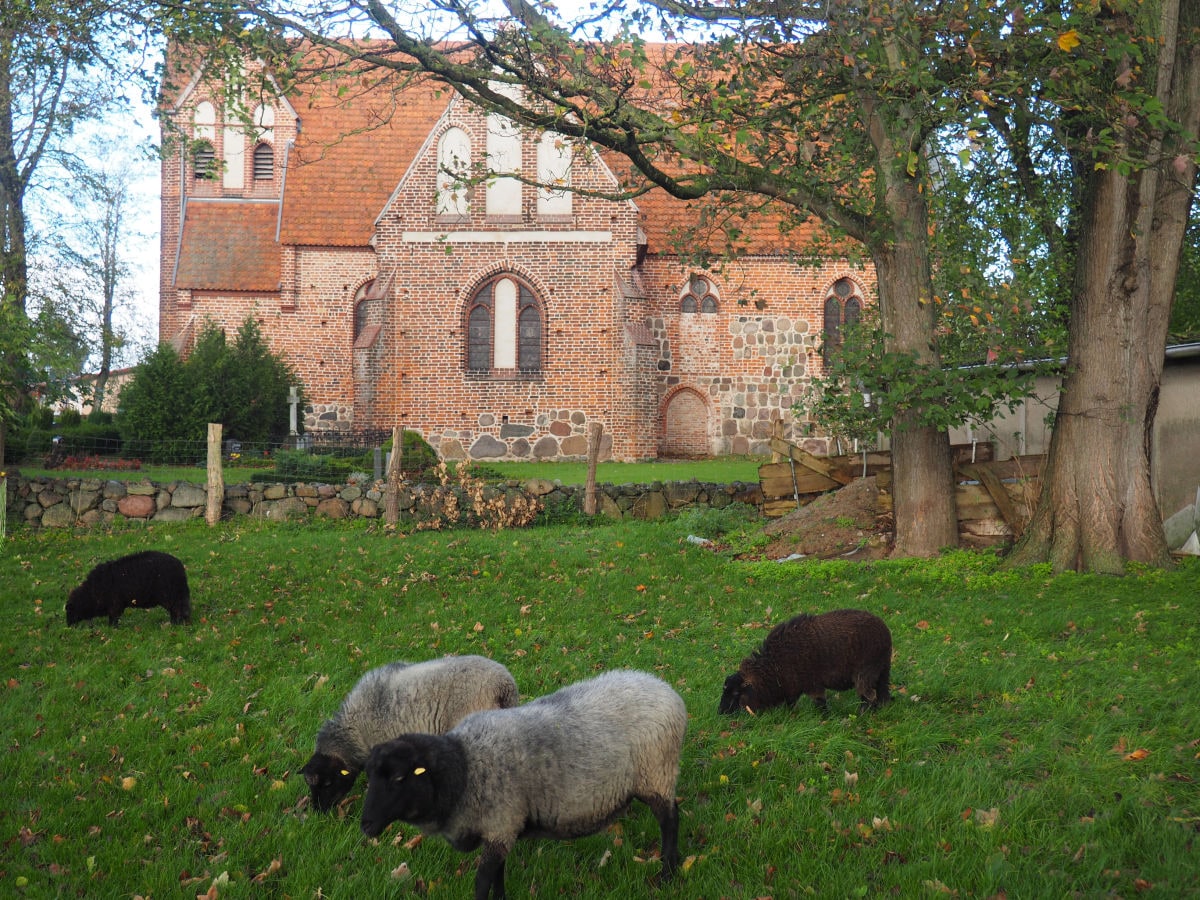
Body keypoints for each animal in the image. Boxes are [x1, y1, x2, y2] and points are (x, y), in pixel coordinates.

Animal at [360, 672, 691, 900]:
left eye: (399, 778)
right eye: (371, 777)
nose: (365, 825)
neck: (465, 768)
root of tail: (667, 689)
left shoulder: (500, 825)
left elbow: (482, 881)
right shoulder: (502, 829)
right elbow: (498, 875)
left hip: (657, 773)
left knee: (670, 821)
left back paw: (668, 873)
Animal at [710, 609, 892, 715]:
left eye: (736, 693)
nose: (720, 713)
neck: (774, 667)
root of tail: (885, 632)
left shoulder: (812, 683)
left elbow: (820, 703)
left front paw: (824, 718)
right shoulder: (793, 685)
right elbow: (791, 702)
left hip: (866, 670)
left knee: (869, 696)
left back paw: (862, 715)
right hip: (882, 669)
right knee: (881, 693)